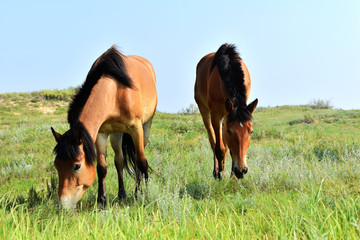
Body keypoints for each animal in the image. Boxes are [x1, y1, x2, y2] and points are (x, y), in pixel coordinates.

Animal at [51, 46, 158, 209]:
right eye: (56, 165)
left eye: (77, 166)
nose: (62, 205)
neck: (115, 92)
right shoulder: (101, 133)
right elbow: (102, 168)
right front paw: (101, 201)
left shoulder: (136, 128)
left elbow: (141, 162)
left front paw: (145, 194)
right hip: (116, 133)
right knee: (119, 161)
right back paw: (122, 194)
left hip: (145, 126)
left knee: (137, 159)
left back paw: (137, 191)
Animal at [194, 43, 258, 179]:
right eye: (230, 131)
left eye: (251, 131)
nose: (241, 170)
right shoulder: (216, 115)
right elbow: (219, 148)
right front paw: (221, 175)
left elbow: (228, 147)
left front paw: (233, 176)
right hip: (205, 111)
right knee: (213, 142)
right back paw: (216, 172)